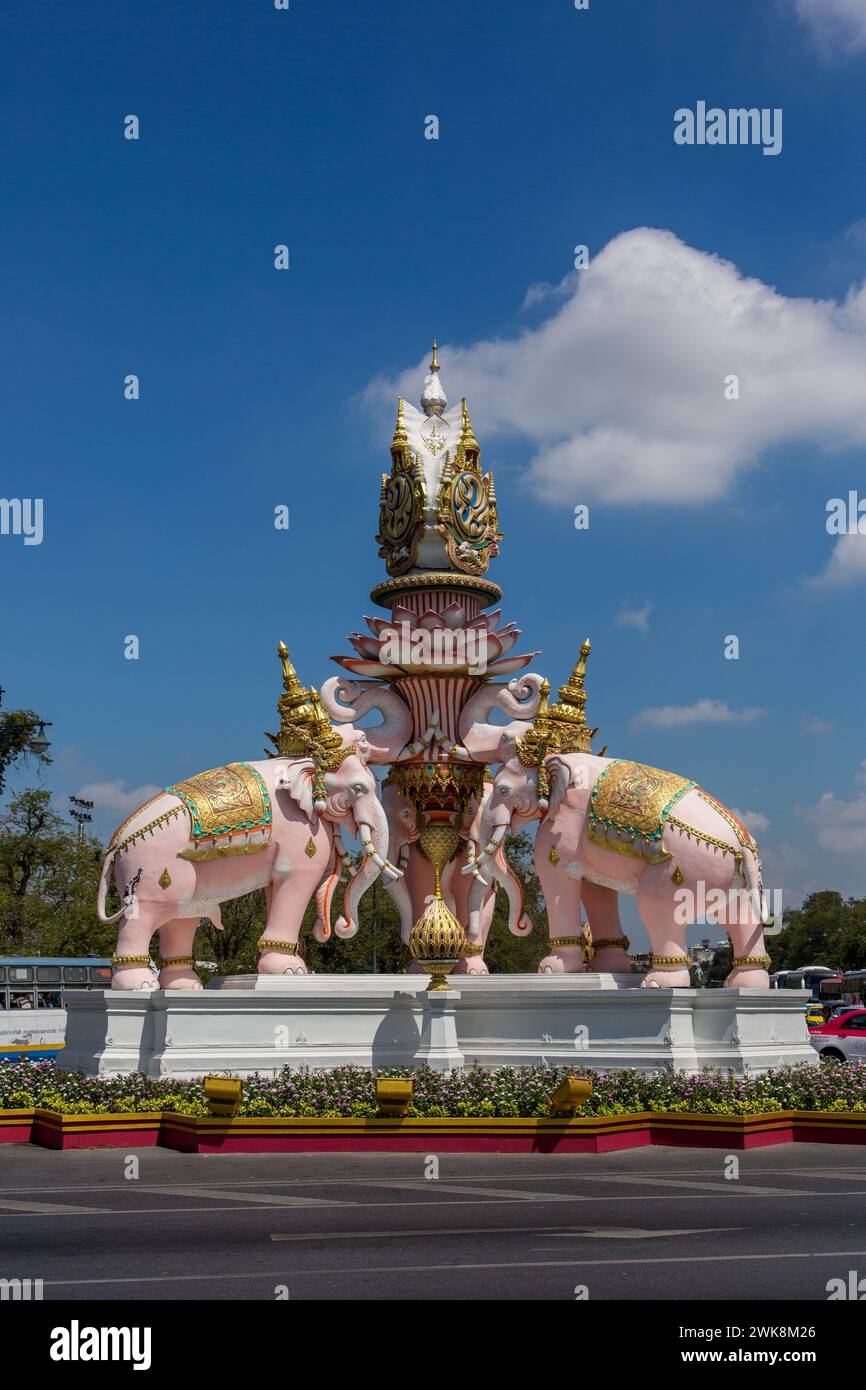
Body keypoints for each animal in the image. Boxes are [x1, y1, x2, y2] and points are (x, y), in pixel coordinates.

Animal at [467, 750, 772, 989]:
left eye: (503, 790)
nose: (524, 924)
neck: (556, 757)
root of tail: (744, 844)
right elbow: (595, 889)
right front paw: (610, 967)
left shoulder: (562, 826)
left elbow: (557, 875)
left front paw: (551, 969)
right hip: (731, 877)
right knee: (739, 916)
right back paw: (748, 983)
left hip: (682, 866)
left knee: (655, 906)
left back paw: (659, 982)